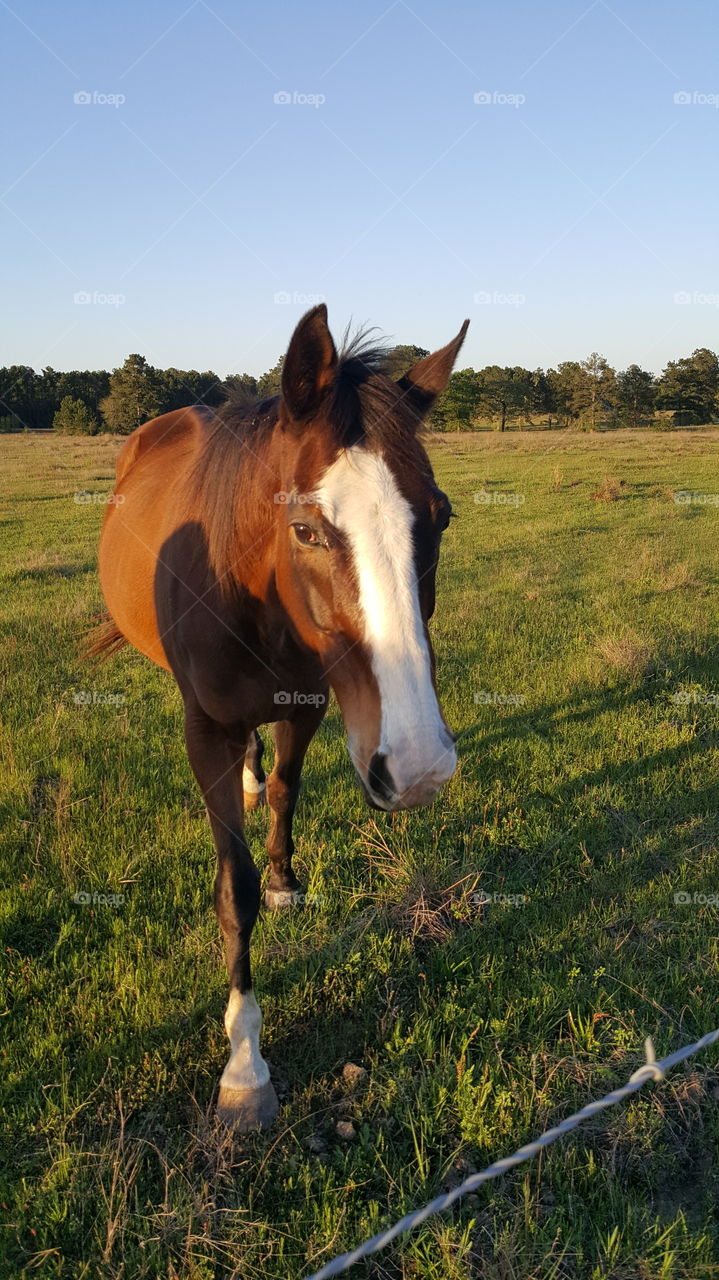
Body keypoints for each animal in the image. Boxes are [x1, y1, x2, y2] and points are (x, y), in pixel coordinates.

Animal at [93, 304, 468, 1130]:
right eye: (306, 529)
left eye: (441, 517)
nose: (420, 768)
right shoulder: (204, 730)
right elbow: (230, 887)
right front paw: (244, 1063)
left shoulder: (310, 706)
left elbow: (290, 794)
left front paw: (285, 879)